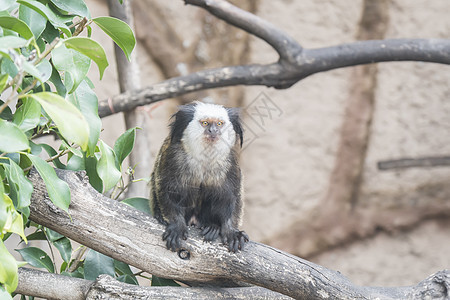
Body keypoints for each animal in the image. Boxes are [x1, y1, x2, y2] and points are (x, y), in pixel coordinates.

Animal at [151, 101, 250, 253]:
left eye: (219, 123)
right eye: (205, 123)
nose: (213, 130)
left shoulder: (230, 164)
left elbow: (231, 198)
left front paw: (231, 231)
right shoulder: (173, 157)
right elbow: (168, 193)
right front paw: (177, 226)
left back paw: (212, 226)